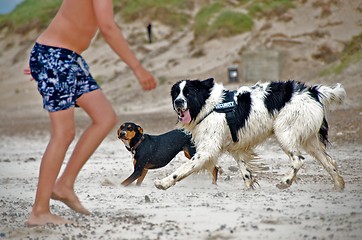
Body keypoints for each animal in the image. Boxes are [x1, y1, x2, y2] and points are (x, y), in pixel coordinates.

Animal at [154, 79, 346, 191]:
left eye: (188, 93)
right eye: (176, 93)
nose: (178, 102)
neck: (208, 104)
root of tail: (312, 91)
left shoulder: (207, 150)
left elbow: (182, 169)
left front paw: (164, 183)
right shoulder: (236, 148)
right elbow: (244, 170)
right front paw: (249, 187)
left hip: (284, 131)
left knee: (298, 160)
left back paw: (285, 182)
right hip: (309, 140)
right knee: (330, 161)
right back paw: (338, 185)